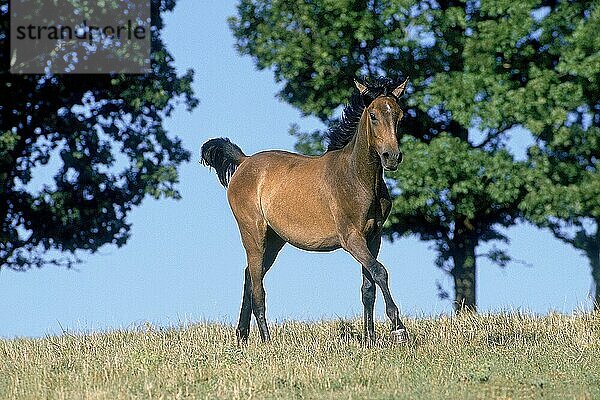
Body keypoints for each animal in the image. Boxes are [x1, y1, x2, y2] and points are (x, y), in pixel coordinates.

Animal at [202, 77, 408, 344]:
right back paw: (267, 341)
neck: (358, 179)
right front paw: (398, 327)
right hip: (253, 234)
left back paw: (242, 335)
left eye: (400, 116)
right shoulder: (351, 238)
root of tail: (244, 161)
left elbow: (368, 287)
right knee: (258, 288)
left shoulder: (373, 237)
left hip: (274, 240)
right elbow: (380, 272)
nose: (391, 156)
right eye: (373, 115)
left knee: (250, 277)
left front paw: (370, 339)